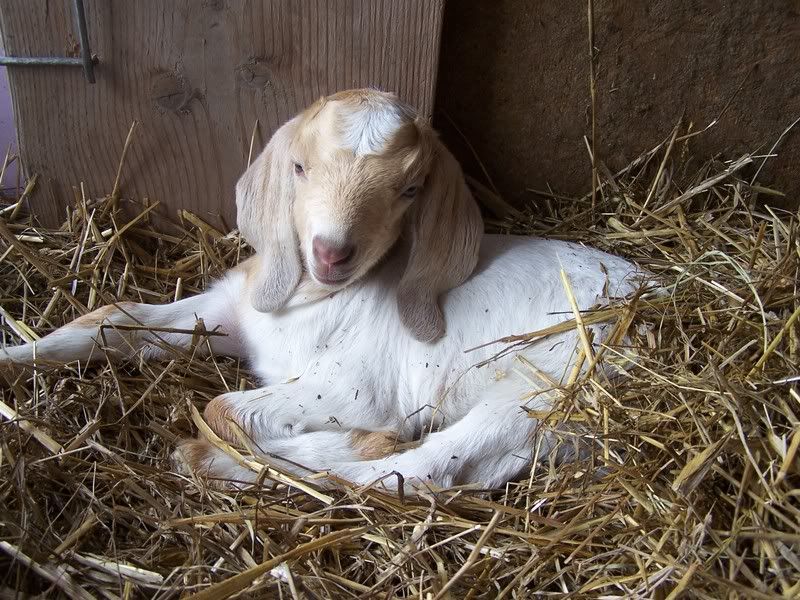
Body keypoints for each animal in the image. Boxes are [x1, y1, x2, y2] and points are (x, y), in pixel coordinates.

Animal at [1, 89, 648, 491]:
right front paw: (13, 357)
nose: (331, 253)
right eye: (299, 168)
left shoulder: (354, 385)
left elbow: (223, 408)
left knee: (421, 472)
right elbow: (111, 315)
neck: (310, 303)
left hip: (546, 391)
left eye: (410, 188)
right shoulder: (231, 312)